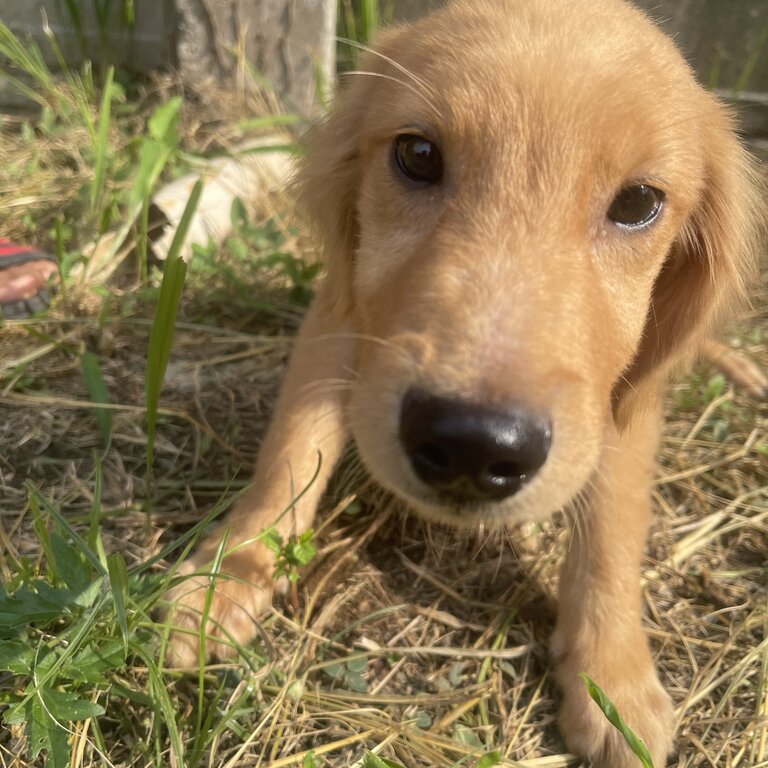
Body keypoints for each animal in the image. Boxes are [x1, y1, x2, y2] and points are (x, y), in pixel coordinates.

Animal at [164, 1, 760, 760]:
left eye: (637, 202)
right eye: (417, 155)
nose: (473, 447)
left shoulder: (620, 401)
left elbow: (613, 531)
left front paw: (614, 680)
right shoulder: (339, 319)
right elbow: (291, 451)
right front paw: (227, 575)